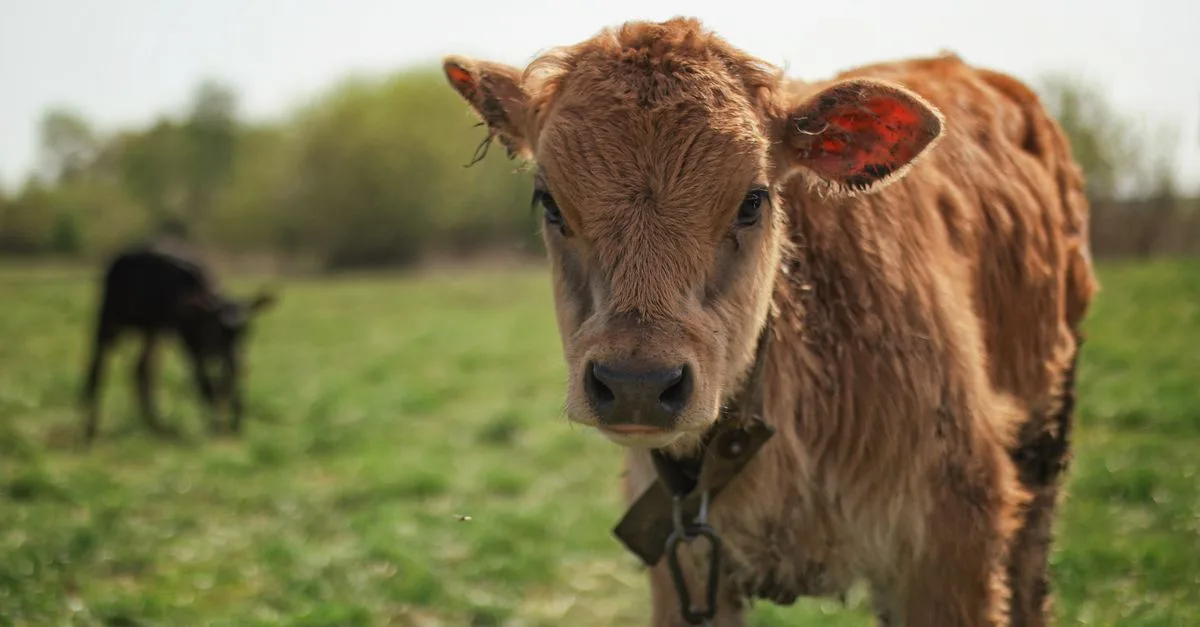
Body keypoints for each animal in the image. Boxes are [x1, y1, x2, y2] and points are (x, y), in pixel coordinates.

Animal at [81, 238, 277, 443]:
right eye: (217, 328)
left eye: (247, 329)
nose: (235, 356)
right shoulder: (190, 345)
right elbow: (206, 384)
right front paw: (216, 427)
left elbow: (228, 385)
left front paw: (235, 426)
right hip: (109, 318)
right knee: (97, 366)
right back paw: (90, 429)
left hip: (151, 330)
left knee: (141, 367)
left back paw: (155, 424)